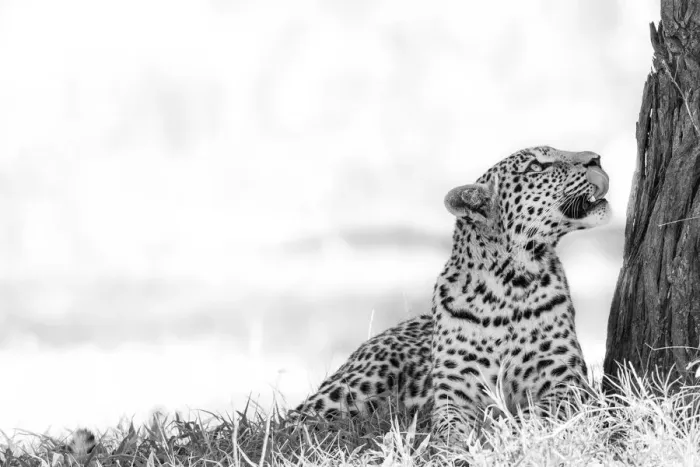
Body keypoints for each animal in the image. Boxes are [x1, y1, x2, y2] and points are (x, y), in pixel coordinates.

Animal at [291, 146, 611, 445]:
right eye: (536, 167)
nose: (596, 158)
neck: (507, 286)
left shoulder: (566, 382)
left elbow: (531, 417)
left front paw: (501, 437)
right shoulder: (454, 394)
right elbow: (450, 428)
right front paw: (457, 448)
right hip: (355, 387)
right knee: (296, 420)